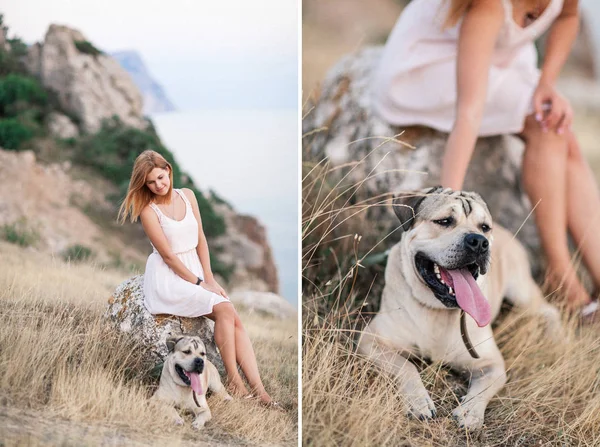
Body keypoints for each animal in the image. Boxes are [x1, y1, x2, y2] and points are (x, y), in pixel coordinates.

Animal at [356, 186, 564, 430]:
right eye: (445, 221)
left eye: (484, 227)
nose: (480, 241)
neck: (436, 309)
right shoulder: (372, 340)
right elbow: (406, 366)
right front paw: (419, 402)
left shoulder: (492, 364)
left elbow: (486, 385)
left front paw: (471, 411)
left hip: (521, 291)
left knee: (549, 310)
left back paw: (558, 339)